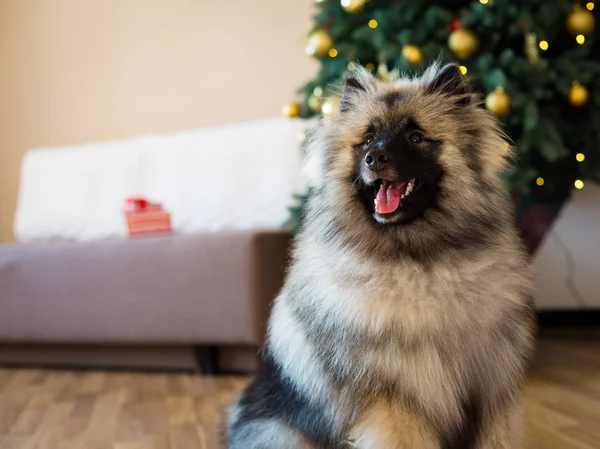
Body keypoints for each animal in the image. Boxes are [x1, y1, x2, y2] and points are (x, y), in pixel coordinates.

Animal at [225, 63, 536, 448]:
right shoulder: (396, 400)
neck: (420, 264)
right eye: (368, 140)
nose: (374, 158)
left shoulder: (490, 391)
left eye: (415, 137)